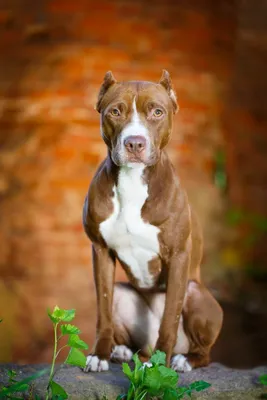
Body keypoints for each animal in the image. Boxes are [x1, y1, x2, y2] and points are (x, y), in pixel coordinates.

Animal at [82, 70, 223, 374]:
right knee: (134, 339)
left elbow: (170, 317)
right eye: (115, 111)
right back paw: (122, 351)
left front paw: (160, 368)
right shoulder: (100, 250)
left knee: (203, 352)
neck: (134, 181)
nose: (135, 143)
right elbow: (102, 309)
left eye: (157, 112)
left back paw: (182, 360)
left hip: (196, 293)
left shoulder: (179, 255)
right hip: (123, 295)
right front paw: (99, 354)